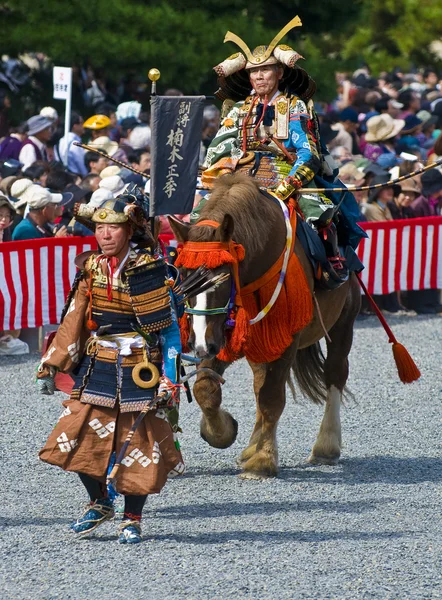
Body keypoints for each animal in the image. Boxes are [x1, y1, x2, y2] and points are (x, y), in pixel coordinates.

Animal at [169, 172, 362, 478]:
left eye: (221, 278)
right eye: (184, 277)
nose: (198, 343)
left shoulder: (285, 337)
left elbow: (271, 397)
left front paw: (263, 460)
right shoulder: (221, 337)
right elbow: (206, 389)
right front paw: (223, 431)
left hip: (343, 320)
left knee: (334, 374)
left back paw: (326, 446)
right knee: (260, 382)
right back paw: (252, 446)